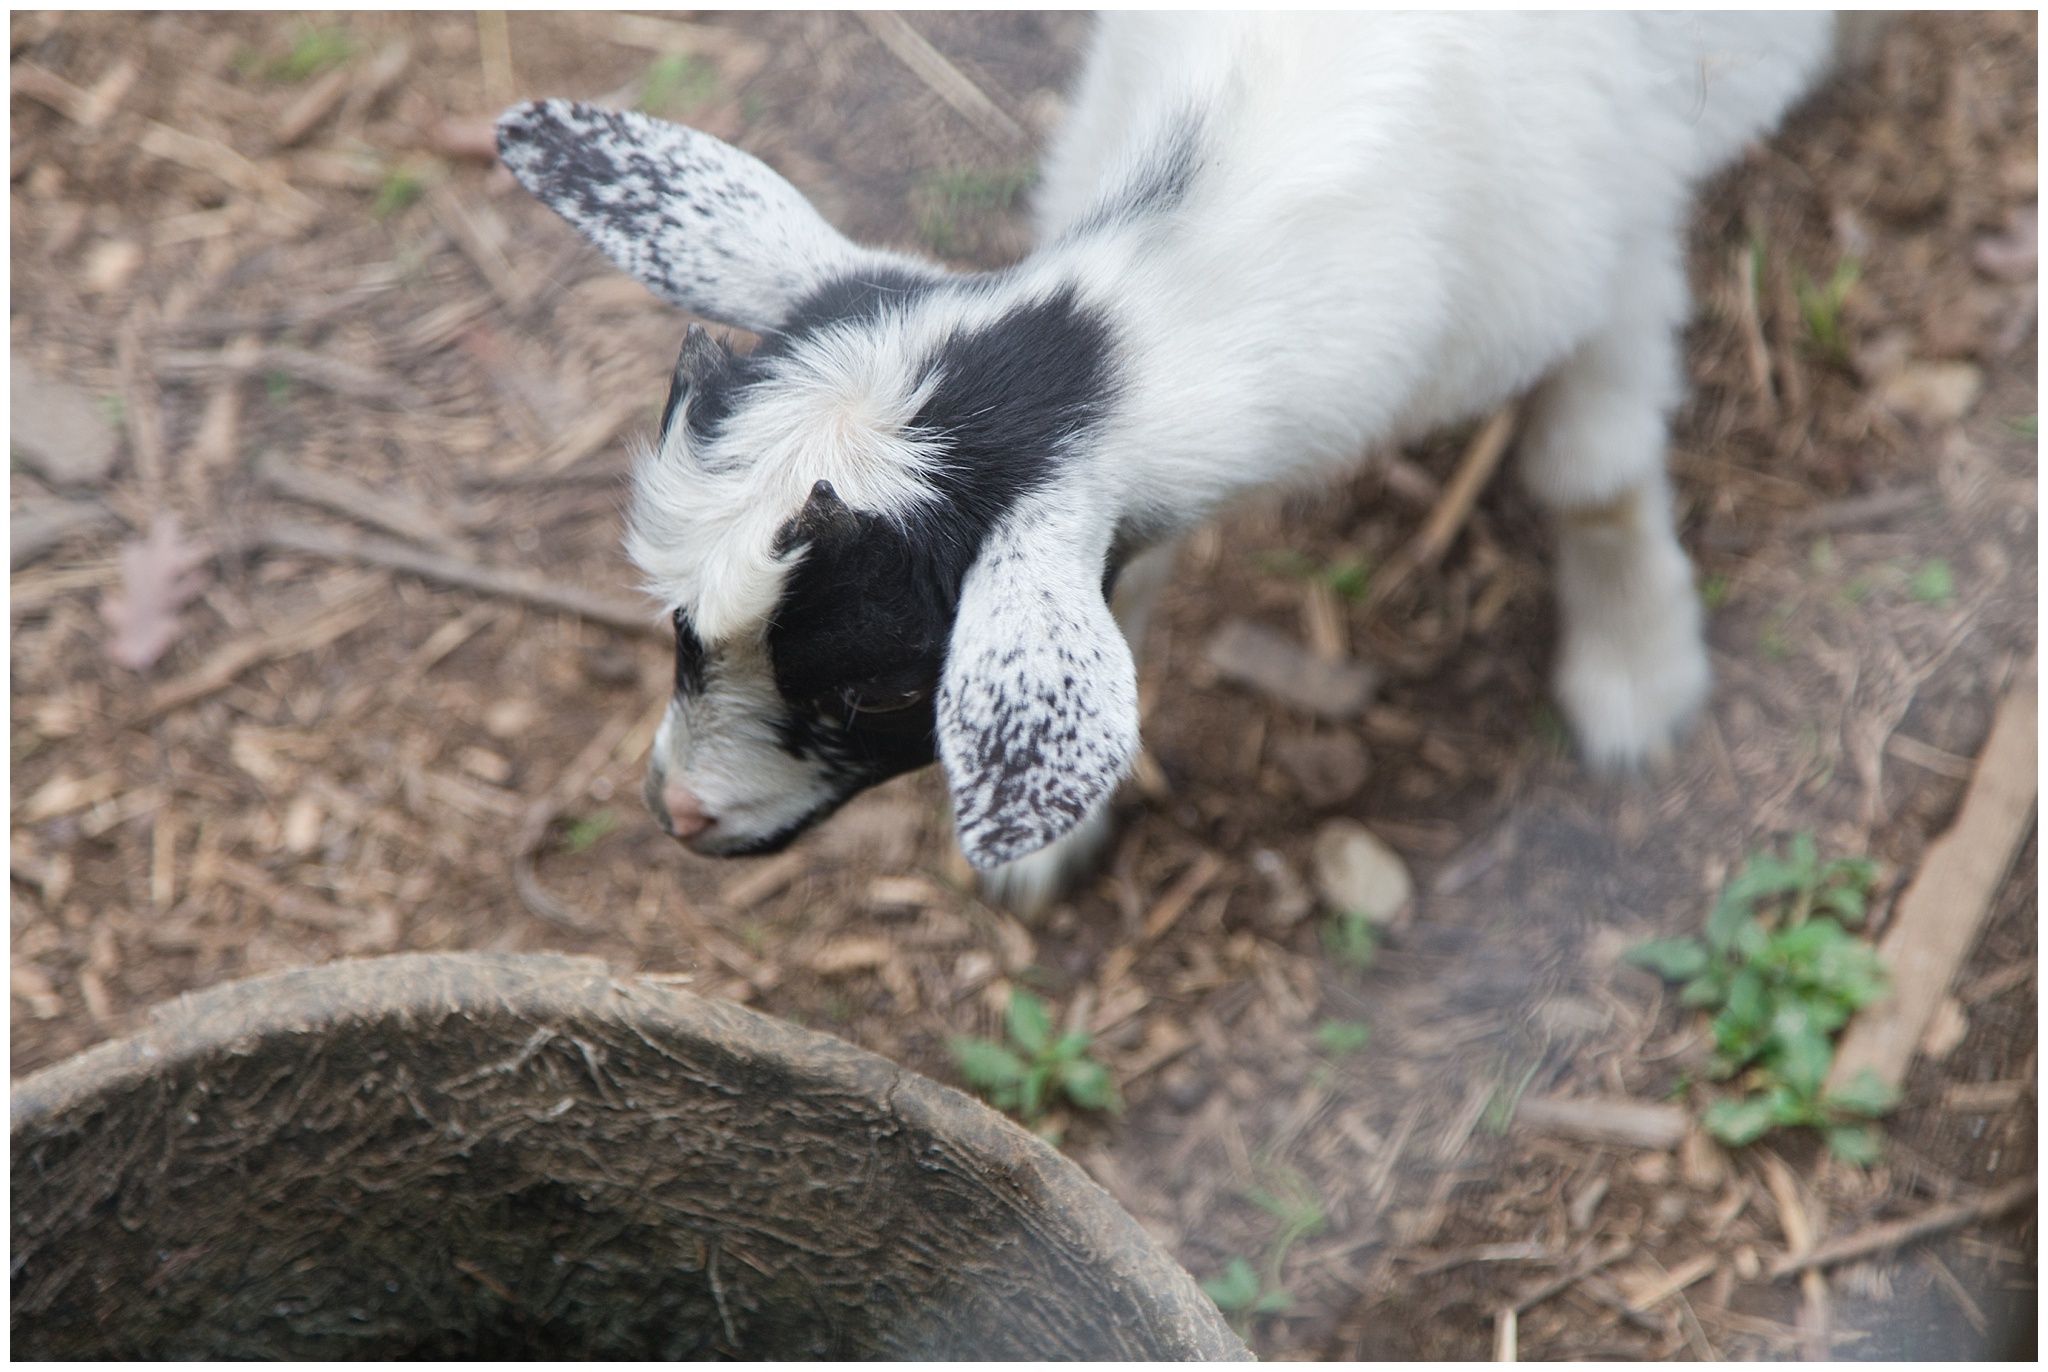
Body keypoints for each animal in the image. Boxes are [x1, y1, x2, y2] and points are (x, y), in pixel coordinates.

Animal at [495, 16, 1843, 913]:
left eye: (876, 692)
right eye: (678, 630)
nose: (678, 814)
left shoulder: (1612, 254)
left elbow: (1593, 475)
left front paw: (1634, 681)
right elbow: (1125, 578)